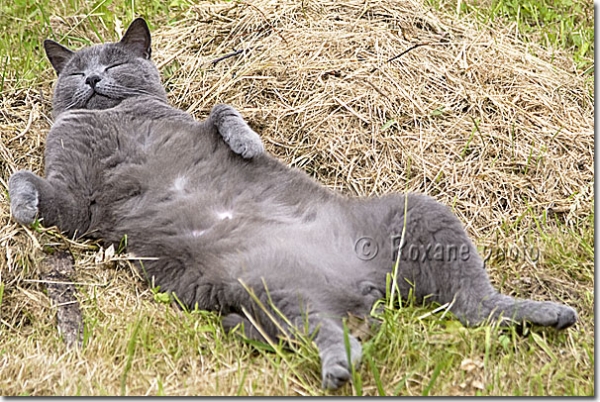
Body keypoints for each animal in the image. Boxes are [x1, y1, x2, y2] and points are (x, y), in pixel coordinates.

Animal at [8, 18, 576, 390]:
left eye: (116, 62)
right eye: (74, 70)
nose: (91, 78)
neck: (116, 118)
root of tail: (368, 289)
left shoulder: (188, 120)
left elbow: (222, 109)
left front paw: (246, 145)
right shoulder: (78, 201)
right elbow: (27, 180)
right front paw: (21, 209)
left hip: (421, 213)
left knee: (474, 303)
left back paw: (548, 314)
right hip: (270, 289)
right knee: (335, 330)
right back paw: (338, 369)